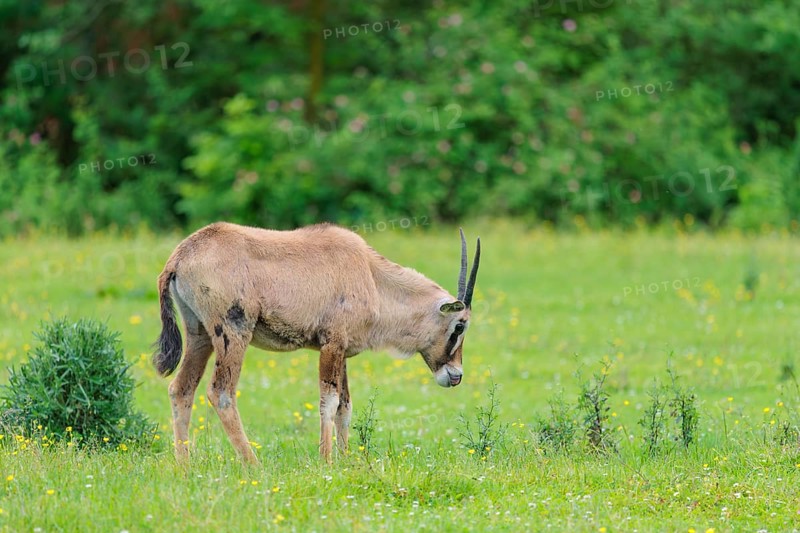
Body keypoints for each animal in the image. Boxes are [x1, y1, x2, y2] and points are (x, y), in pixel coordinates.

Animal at [152, 222, 480, 463]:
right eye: (459, 325)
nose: (456, 375)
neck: (371, 276)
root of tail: (180, 256)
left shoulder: (343, 352)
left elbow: (345, 406)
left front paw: (347, 461)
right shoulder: (331, 345)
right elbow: (329, 401)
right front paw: (327, 461)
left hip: (200, 337)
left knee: (181, 390)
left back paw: (184, 466)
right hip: (233, 335)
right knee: (220, 393)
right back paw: (253, 465)